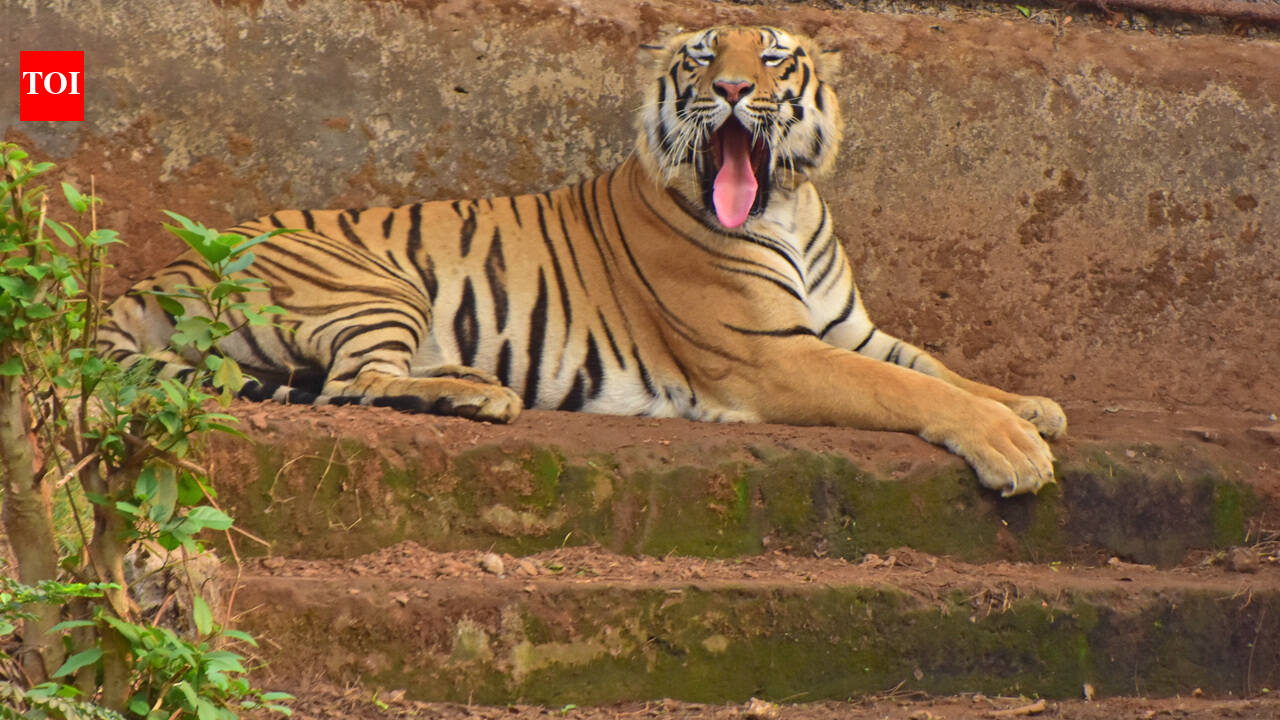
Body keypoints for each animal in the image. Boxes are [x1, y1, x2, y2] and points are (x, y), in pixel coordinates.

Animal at [99, 25, 1067, 496]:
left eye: (772, 57)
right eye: (703, 58)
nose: (731, 89)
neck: (786, 203)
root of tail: (161, 273)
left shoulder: (844, 329)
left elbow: (937, 367)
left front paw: (1031, 407)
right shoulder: (771, 356)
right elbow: (913, 391)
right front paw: (1013, 449)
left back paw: (471, 380)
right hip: (375, 284)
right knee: (350, 387)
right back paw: (481, 397)